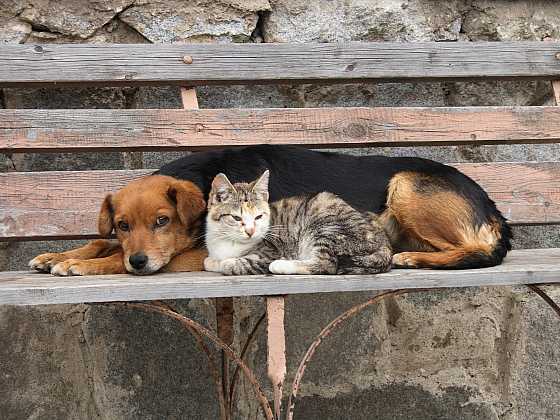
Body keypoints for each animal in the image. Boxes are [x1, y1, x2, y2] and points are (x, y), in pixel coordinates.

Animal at [29, 174, 208, 276]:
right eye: (123, 225)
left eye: (162, 220)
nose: (137, 261)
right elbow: (101, 243)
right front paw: (53, 257)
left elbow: (118, 257)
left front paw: (79, 263)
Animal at [203, 169, 392, 278]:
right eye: (236, 218)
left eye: (258, 217)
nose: (250, 231)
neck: (228, 242)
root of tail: (385, 245)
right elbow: (208, 261)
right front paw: (213, 261)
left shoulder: (269, 252)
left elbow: (231, 264)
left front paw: (225, 263)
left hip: (326, 226)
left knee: (327, 264)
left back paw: (281, 265)